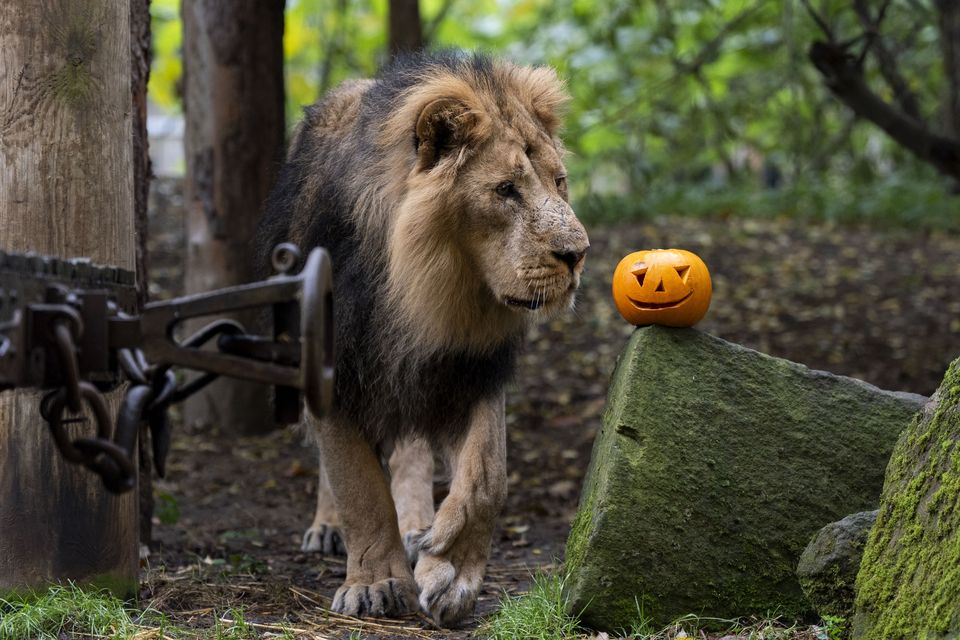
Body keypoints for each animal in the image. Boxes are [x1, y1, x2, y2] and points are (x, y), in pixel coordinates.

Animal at [255, 51, 588, 624]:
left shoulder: (470, 369)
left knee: (411, 452)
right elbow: (358, 485)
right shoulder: (338, 370)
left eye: (559, 182)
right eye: (505, 190)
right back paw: (329, 529)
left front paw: (449, 572)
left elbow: (487, 478)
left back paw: (416, 528)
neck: (429, 295)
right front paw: (377, 584)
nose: (577, 254)